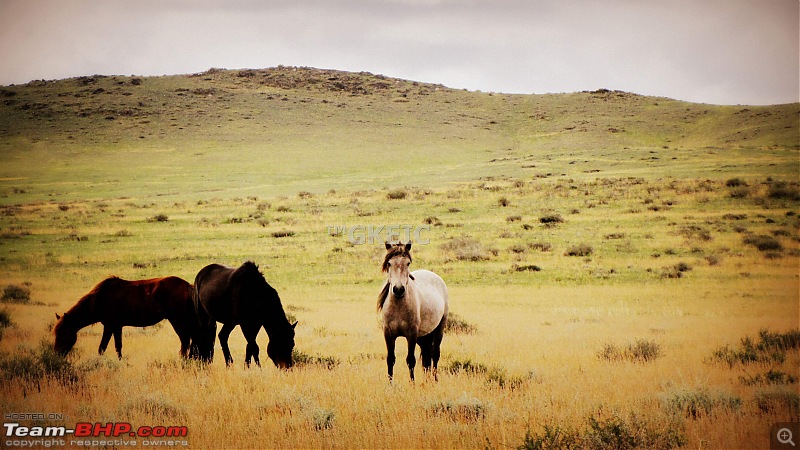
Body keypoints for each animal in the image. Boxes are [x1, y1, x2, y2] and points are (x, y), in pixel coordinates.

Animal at [53, 274, 197, 358]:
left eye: (63, 332)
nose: (57, 354)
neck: (100, 298)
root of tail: (187, 286)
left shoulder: (110, 325)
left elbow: (103, 347)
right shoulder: (117, 326)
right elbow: (118, 347)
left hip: (177, 319)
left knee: (185, 340)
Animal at [376, 241, 446, 382]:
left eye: (408, 263)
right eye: (389, 263)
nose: (398, 289)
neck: (398, 307)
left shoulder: (411, 334)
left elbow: (410, 360)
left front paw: (412, 383)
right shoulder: (388, 334)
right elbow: (390, 359)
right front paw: (390, 384)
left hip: (439, 329)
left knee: (435, 354)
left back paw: (435, 380)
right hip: (423, 336)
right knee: (426, 357)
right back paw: (427, 381)